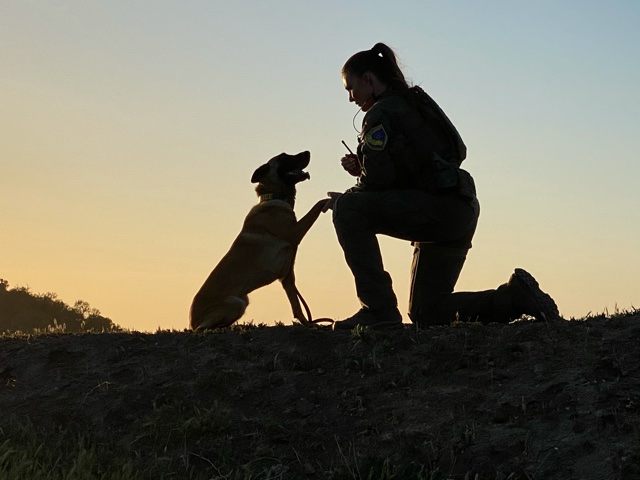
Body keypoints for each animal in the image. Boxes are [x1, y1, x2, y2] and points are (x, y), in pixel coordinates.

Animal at [189, 150, 330, 330]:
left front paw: (310, 325)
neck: (273, 197)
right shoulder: (295, 232)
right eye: (284, 157)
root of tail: (192, 321)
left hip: (242, 301)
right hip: (236, 303)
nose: (308, 152)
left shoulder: (287, 277)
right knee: (204, 328)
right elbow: (316, 206)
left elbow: (297, 307)